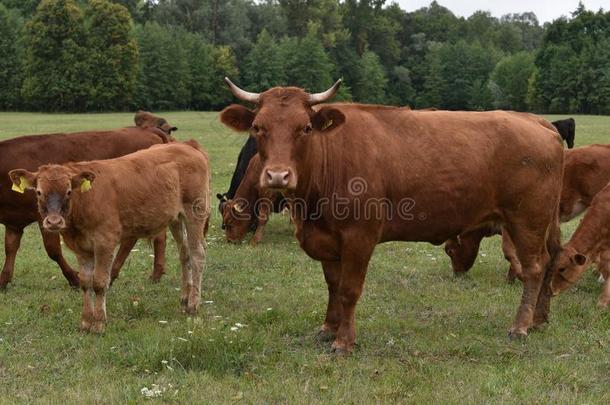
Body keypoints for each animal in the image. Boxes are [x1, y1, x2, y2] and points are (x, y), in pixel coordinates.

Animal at [8, 142, 209, 332]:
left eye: (68, 192)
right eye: (39, 192)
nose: (54, 222)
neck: (85, 202)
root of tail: (188, 147)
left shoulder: (105, 242)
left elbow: (99, 282)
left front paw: (98, 323)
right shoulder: (82, 248)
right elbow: (85, 282)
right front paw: (85, 322)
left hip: (195, 211)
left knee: (198, 254)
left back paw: (193, 304)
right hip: (176, 218)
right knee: (185, 254)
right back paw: (184, 299)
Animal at [217, 77, 560, 352]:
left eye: (305, 128)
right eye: (258, 128)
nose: (277, 176)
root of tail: (537, 122)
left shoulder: (359, 237)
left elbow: (349, 290)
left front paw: (344, 341)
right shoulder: (328, 240)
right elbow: (333, 286)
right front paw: (328, 328)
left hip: (527, 220)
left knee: (534, 268)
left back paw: (520, 326)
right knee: (552, 259)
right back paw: (540, 319)